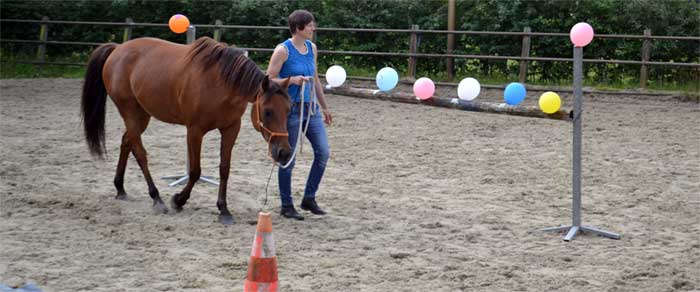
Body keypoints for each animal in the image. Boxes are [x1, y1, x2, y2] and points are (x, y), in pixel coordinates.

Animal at [80, 36, 292, 224]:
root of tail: (117, 49)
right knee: (140, 153)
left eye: (289, 109)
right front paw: (179, 200)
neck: (220, 82)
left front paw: (223, 210)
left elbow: (224, 168)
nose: (284, 152)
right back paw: (156, 198)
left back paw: (120, 188)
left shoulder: (231, 128)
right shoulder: (195, 130)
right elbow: (195, 171)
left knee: (127, 141)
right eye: (268, 112)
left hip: (142, 116)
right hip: (130, 113)